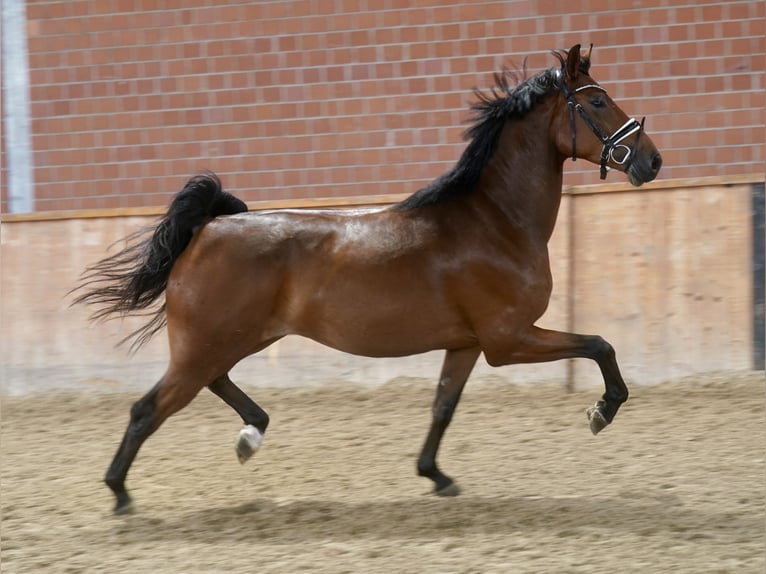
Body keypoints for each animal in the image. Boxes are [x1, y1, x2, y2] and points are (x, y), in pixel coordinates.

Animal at [74, 44, 662, 514]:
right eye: (598, 101)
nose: (652, 161)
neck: (494, 222)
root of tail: (208, 227)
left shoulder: (469, 344)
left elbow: (443, 407)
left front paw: (436, 476)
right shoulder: (509, 339)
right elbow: (600, 344)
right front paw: (602, 411)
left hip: (235, 339)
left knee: (211, 383)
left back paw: (250, 434)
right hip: (208, 343)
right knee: (149, 408)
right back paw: (120, 494)